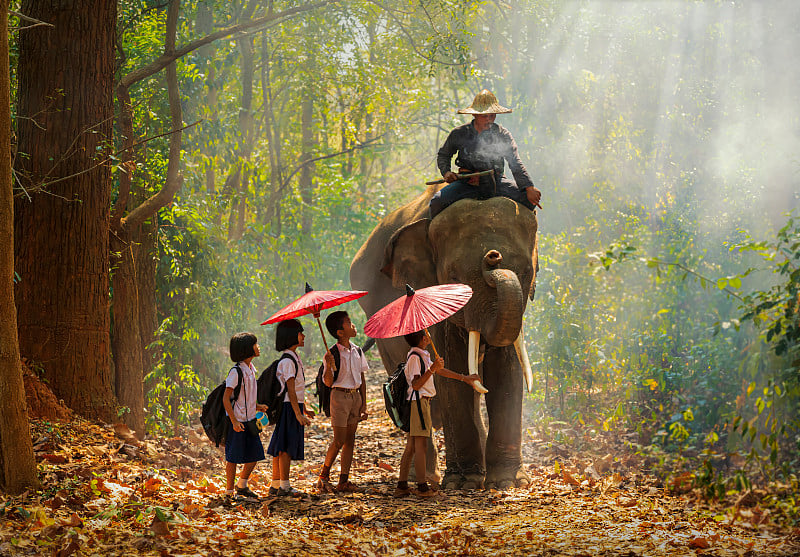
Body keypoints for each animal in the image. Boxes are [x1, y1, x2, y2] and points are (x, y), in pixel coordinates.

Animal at [350, 185, 536, 488]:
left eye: (527, 272)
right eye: (452, 277)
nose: (493, 256)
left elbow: (505, 364)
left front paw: (507, 482)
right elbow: (450, 365)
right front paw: (464, 482)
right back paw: (423, 477)